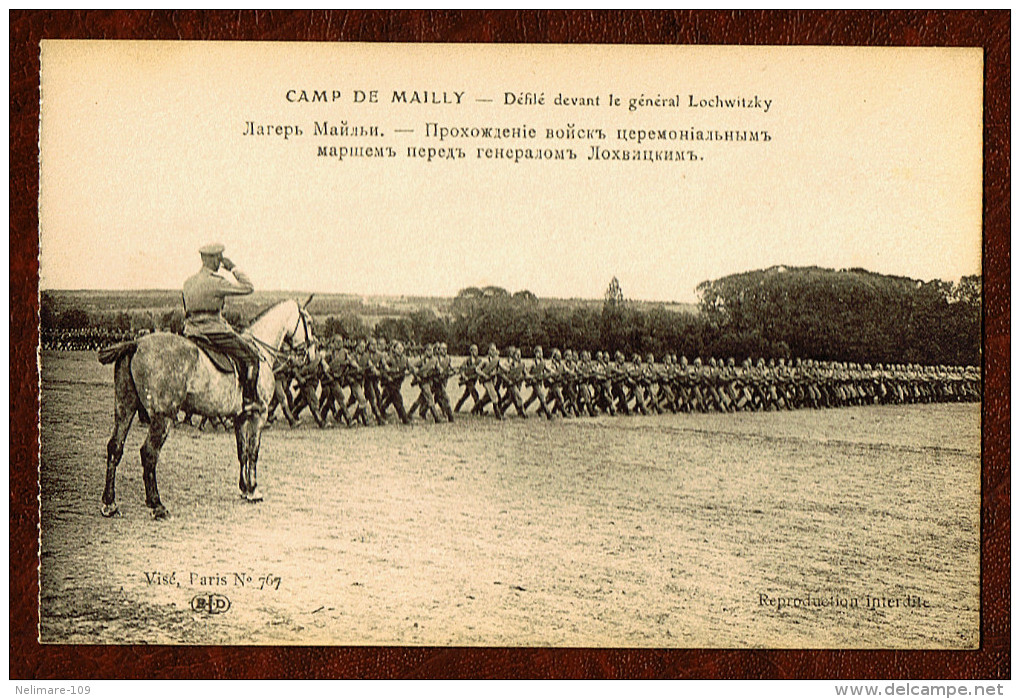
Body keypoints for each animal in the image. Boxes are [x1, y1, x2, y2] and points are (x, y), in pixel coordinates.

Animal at [100, 300, 314, 518]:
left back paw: (110, 503)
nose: (309, 356)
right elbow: (253, 452)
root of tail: (136, 344)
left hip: (125, 408)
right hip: (163, 417)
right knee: (149, 454)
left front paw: (244, 488)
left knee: (115, 447)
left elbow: (242, 452)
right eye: (309, 322)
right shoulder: (258, 415)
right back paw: (156, 504)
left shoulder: (240, 417)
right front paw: (253, 490)